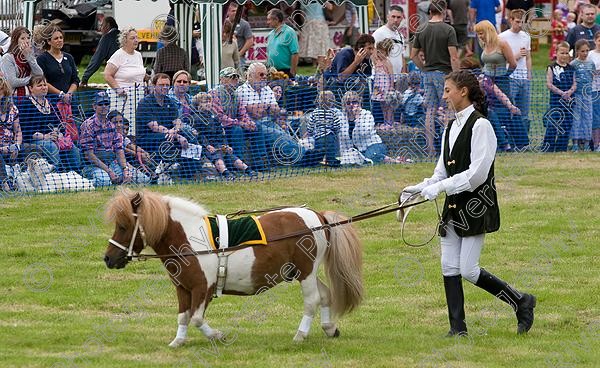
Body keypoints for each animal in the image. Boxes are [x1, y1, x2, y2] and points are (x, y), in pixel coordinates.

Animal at [103, 188, 364, 346]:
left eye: (124, 226)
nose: (108, 259)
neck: (191, 239)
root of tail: (318, 216)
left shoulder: (203, 288)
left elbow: (196, 318)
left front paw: (217, 335)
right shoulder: (183, 289)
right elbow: (183, 317)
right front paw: (178, 341)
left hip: (307, 272)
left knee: (312, 301)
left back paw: (300, 335)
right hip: (302, 272)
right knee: (326, 295)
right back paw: (329, 328)